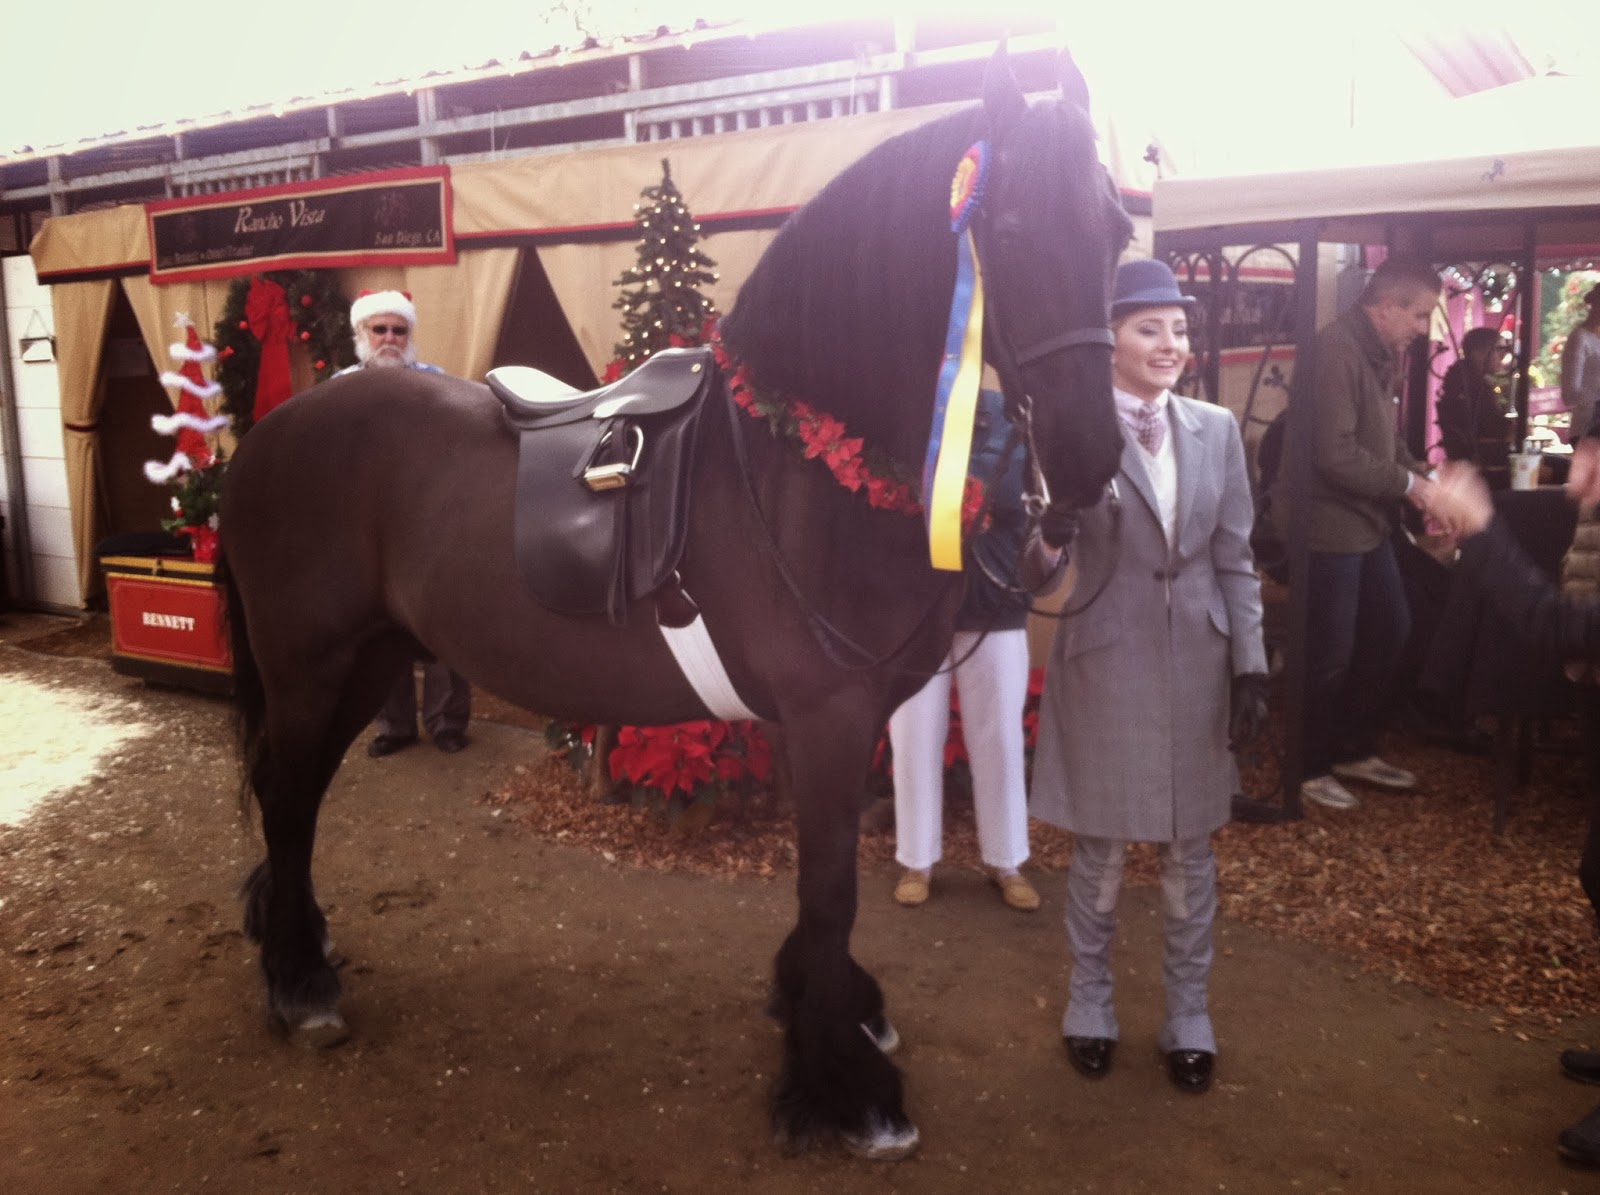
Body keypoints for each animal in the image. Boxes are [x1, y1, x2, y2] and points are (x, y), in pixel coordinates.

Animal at [219, 50, 1131, 1160]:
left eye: (1116, 228)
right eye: (1010, 229)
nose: (1088, 459)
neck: (799, 461)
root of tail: (267, 434)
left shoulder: (819, 719)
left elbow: (823, 891)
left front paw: (826, 1007)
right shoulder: (827, 717)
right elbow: (831, 885)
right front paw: (842, 1085)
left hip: (371, 656)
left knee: (295, 795)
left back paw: (299, 943)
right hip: (308, 665)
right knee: (288, 796)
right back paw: (300, 981)